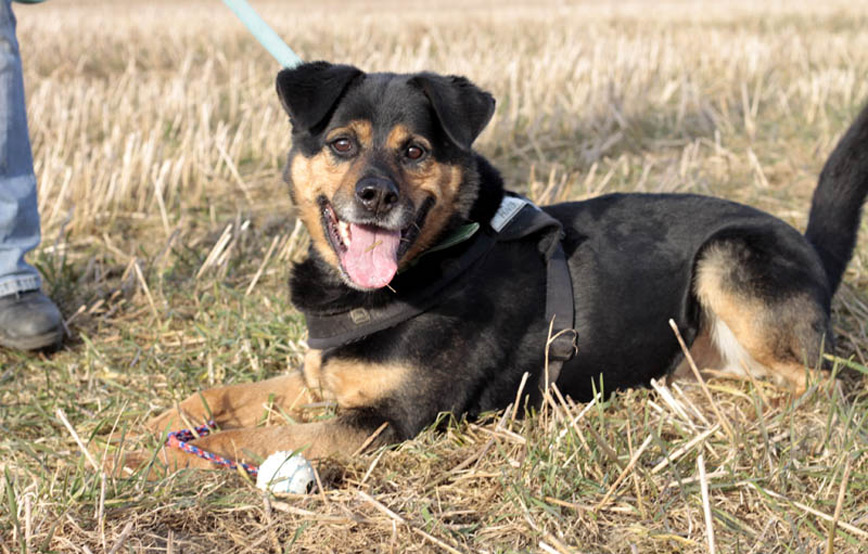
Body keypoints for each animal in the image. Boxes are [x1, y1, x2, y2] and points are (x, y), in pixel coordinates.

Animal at [139, 61, 868, 470]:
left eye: (415, 151)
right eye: (342, 144)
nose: (376, 197)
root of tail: (812, 250)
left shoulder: (385, 422)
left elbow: (252, 441)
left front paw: (152, 456)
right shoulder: (319, 379)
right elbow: (219, 398)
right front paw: (148, 426)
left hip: (729, 257)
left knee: (819, 384)